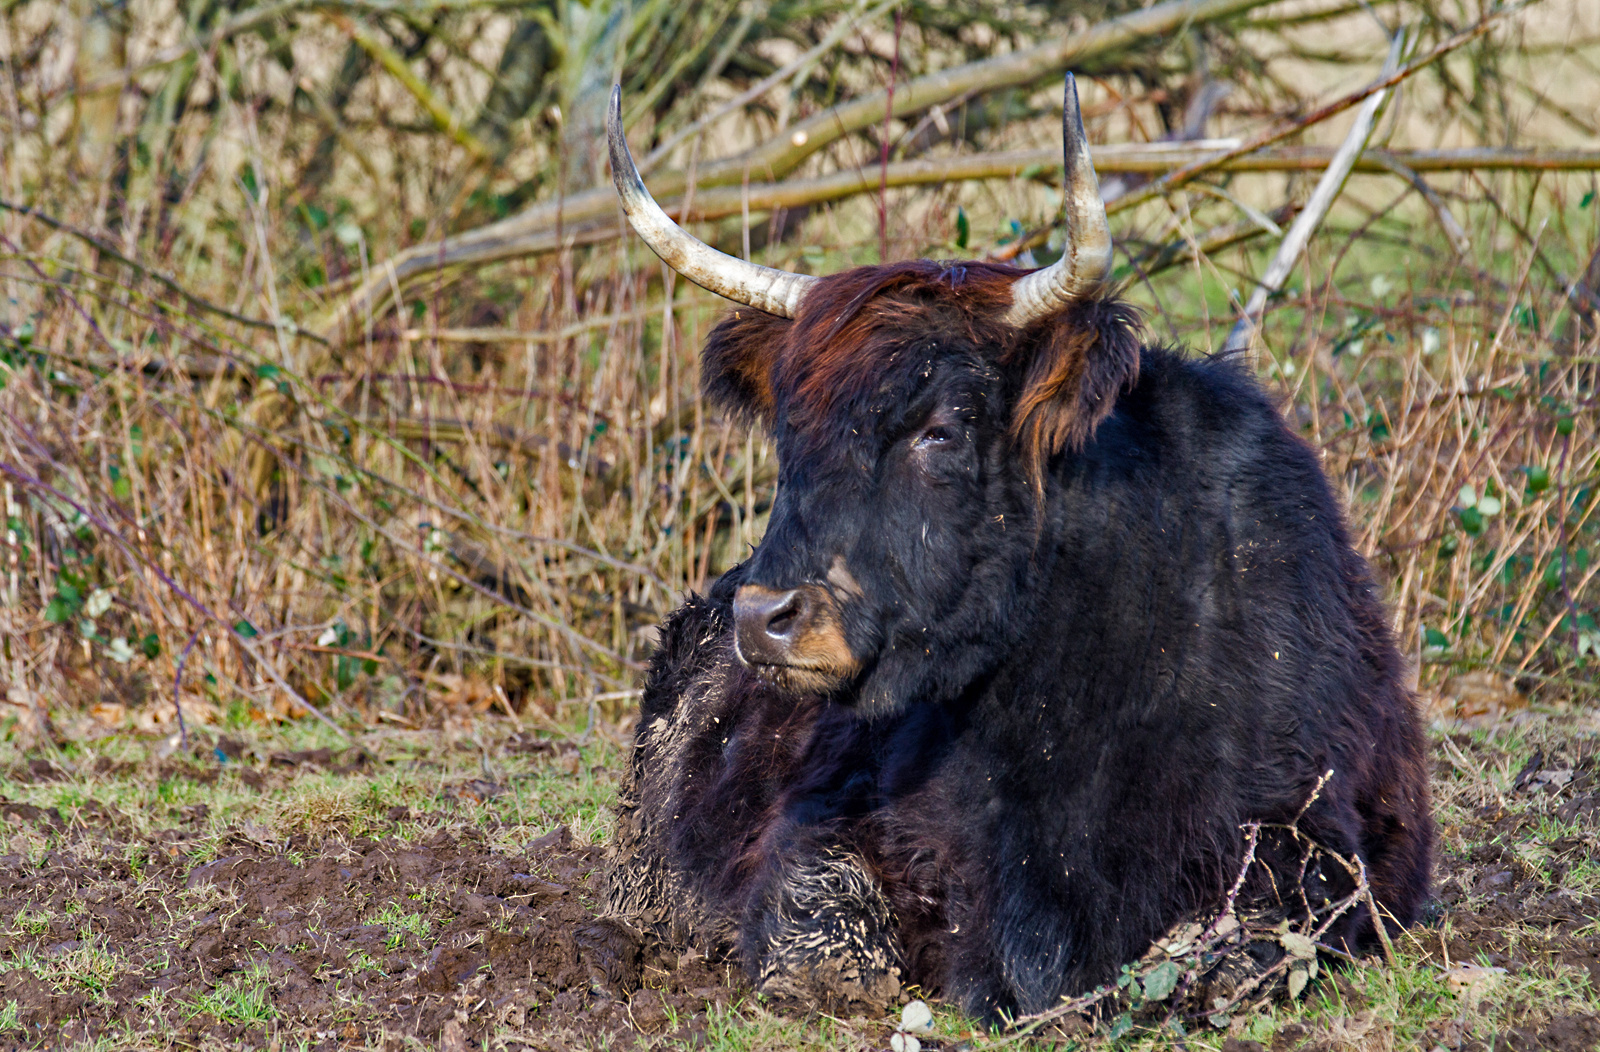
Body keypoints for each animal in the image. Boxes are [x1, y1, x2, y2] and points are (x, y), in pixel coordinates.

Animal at [595, 75, 1433, 1023]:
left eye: (942, 429)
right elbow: (831, 948)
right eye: (789, 432)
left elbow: (1227, 955)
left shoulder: (1316, 842)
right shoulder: (822, 818)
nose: (765, 617)